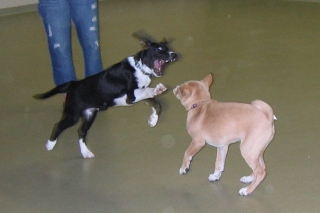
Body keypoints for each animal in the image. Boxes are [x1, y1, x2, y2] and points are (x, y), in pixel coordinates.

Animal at [33, 33, 178, 158]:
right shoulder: (131, 96)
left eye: (168, 48)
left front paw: (153, 120)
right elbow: (149, 92)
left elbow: (157, 103)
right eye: (160, 49)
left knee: (81, 131)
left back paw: (85, 152)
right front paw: (158, 89)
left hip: (90, 113)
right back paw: (50, 144)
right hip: (73, 114)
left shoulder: (138, 96)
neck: (140, 67)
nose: (174, 55)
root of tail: (73, 84)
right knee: (58, 125)